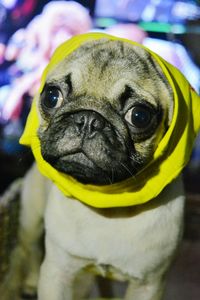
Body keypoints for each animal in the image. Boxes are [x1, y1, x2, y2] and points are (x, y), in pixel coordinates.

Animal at [1, 38, 186, 300]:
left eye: (139, 116)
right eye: (51, 97)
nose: (89, 119)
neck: (108, 205)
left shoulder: (148, 284)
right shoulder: (58, 272)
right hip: (31, 219)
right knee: (27, 249)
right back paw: (23, 283)